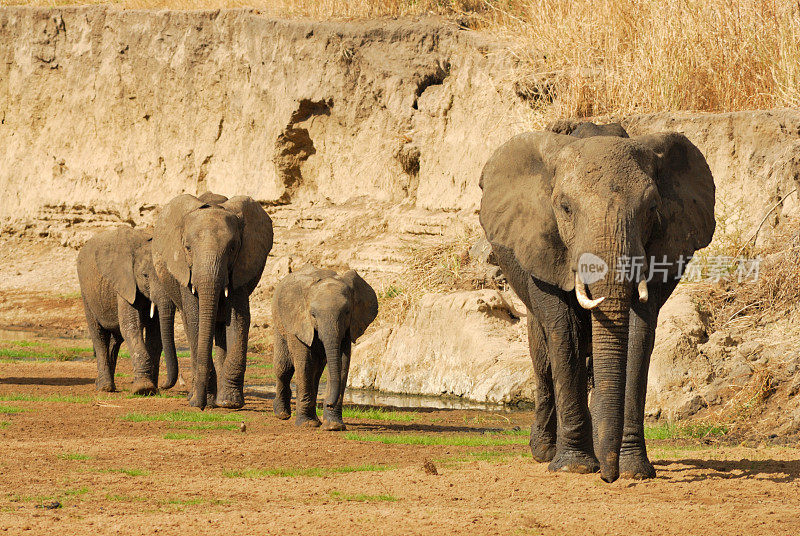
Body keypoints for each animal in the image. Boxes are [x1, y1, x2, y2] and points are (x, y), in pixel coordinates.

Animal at [76, 225, 177, 394]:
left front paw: (152, 388)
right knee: (98, 335)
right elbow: (131, 327)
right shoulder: (125, 283)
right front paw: (143, 389)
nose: (164, 385)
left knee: (116, 339)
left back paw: (102, 384)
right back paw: (105, 387)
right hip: (86, 293)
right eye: (145, 275)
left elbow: (156, 333)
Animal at [152, 193, 274, 410]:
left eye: (233, 248)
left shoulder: (240, 268)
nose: (198, 406)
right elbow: (195, 320)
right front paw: (204, 400)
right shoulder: (185, 272)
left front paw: (229, 403)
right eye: (187, 248)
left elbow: (238, 320)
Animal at [272, 264, 378, 432]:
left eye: (347, 312)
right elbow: (304, 364)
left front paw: (334, 426)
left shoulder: (348, 327)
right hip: (279, 321)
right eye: (313, 314)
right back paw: (283, 414)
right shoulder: (299, 323)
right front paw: (307, 424)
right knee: (284, 367)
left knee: (316, 370)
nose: (328, 403)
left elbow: (342, 364)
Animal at [478, 123, 716, 484]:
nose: (609, 476)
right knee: (542, 356)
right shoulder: (542, 247)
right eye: (565, 208)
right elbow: (565, 332)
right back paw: (545, 452)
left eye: (652, 208)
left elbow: (639, 335)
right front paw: (574, 466)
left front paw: (635, 471)